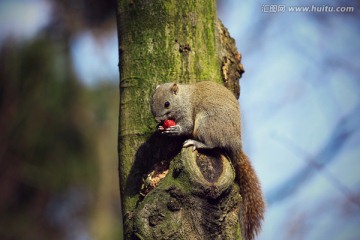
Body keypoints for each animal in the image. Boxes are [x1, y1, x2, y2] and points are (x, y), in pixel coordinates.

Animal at [150, 80, 266, 240]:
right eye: (151, 100)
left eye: (167, 104)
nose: (157, 119)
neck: (183, 98)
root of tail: (234, 142)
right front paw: (160, 128)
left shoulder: (187, 113)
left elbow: (187, 126)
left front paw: (175, 130)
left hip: (207, 124)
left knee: (211, 143)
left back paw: (197, 143)